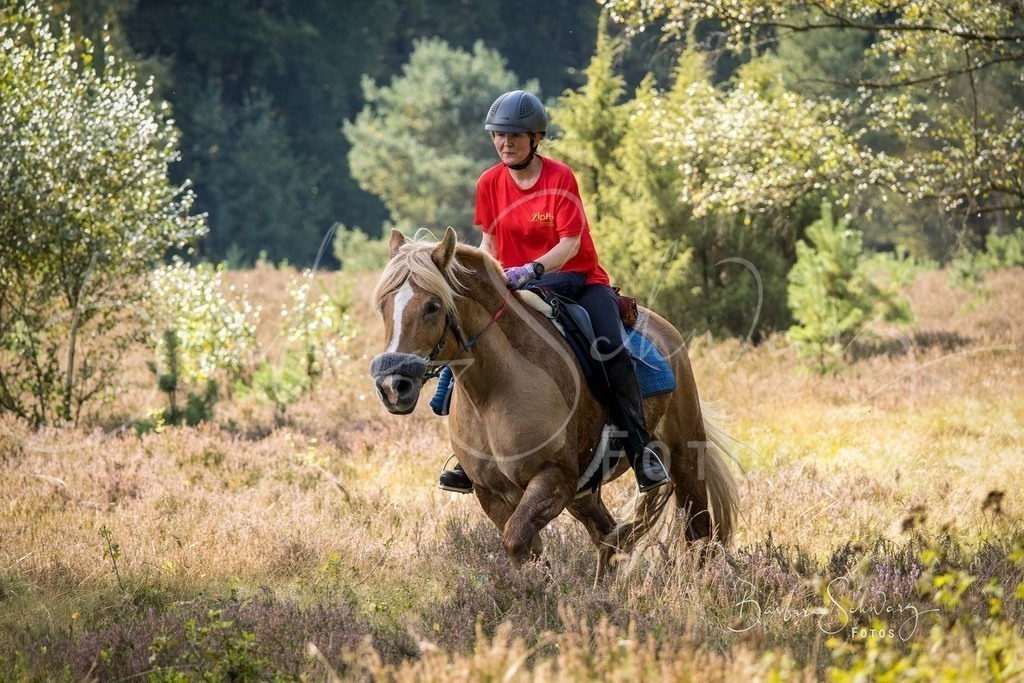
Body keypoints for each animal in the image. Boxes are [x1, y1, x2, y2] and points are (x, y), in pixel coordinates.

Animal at [370, 227, 739, 572]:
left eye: (432, 306)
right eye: (383, 306)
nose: (392, 386)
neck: (493, 393)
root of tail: (666, 330)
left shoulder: (554, 478)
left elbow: (517, 540)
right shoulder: (493, 493)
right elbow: (525, 549)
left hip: (684, 456)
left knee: (698, 531)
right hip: (584, 490)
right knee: (609, 538)